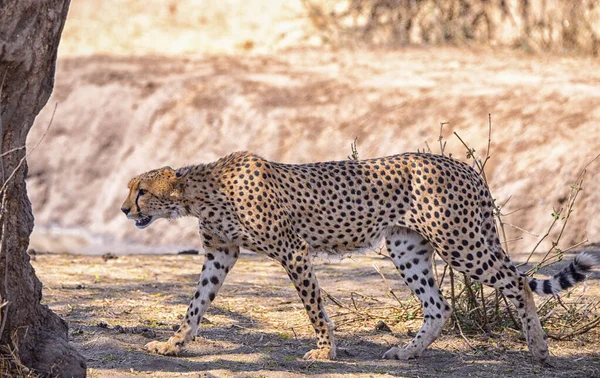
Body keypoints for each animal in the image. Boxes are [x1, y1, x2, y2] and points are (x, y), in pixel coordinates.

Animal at [120, 151, 596, 364]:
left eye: (140, 190)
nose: (124, 210)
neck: (200, 191)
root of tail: (462, 165)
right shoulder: (221, 254)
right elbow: (195, 305)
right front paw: (173, 344)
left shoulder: (293, 251)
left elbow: (314, 307)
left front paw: (325, 351)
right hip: (406, 246)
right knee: (438, 306)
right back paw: (406, 352)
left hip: (459, 241)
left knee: (515, 283)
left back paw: (539, 349)